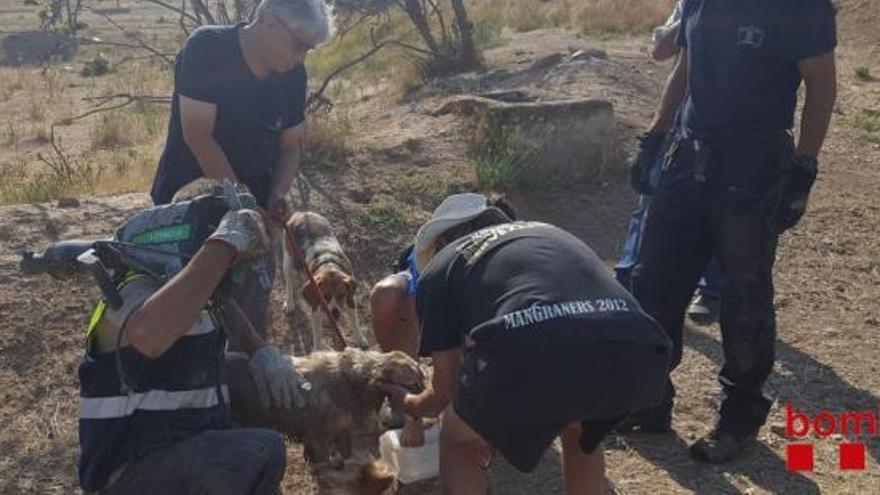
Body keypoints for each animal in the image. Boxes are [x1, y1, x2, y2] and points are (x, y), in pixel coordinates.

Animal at [282, 211, 364, 350]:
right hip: (288, 260)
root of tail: (301, 213)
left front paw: (360, 338)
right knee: (289, 282)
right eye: (324, 297)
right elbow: (317, 334)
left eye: (341, 295)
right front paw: (318, 349)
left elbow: (355, 321)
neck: (328, 264)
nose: (334, 313)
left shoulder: (350, 300)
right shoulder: (315, 307)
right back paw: (290, 302)